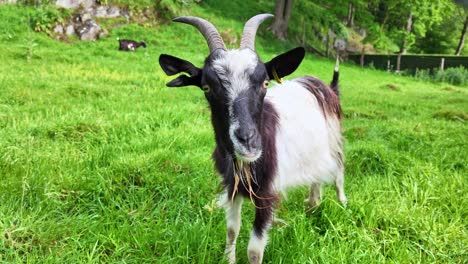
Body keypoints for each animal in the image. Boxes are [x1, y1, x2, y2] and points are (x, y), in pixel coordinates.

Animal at [159, 13, 346, 264]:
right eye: (207, 87)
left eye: (265, 83)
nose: (247, 141)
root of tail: (326, 86)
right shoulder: (232, 188)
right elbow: (232, 230)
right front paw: (228, 259)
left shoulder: (267, 194)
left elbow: (254, 251)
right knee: (317, 177)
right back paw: (312, 207)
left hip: (334, 139)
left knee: (338, 171)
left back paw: (343, 204)